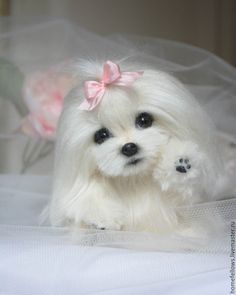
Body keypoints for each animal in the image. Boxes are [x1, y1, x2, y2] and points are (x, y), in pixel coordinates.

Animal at [49, 59, 223, 236]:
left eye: (144, 120)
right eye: (101, 135)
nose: (129, 148)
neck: (134, 180)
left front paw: (180, 161)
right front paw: (102, 218)